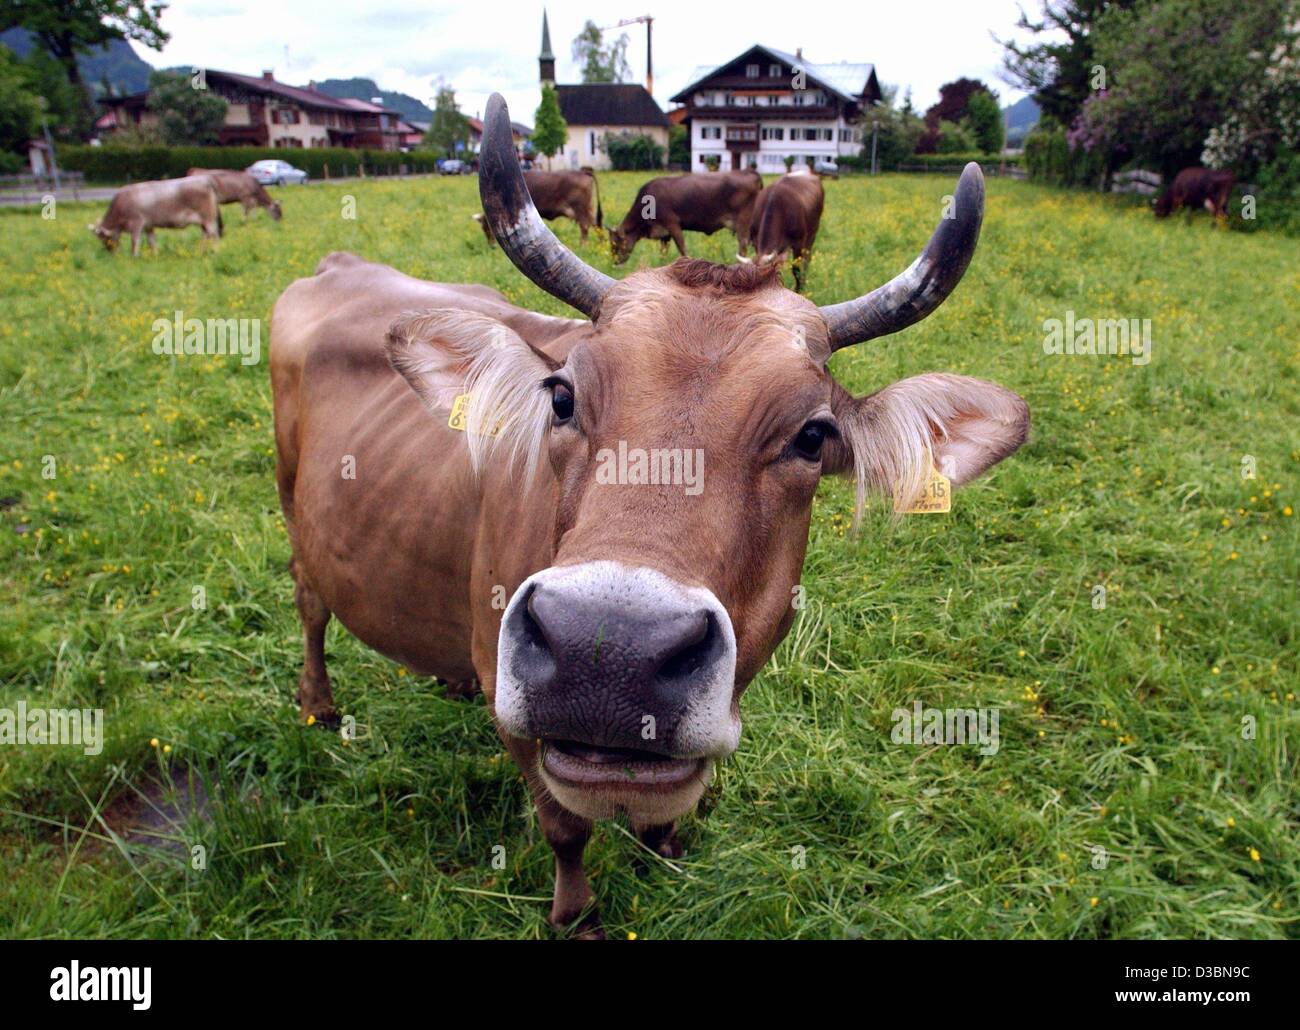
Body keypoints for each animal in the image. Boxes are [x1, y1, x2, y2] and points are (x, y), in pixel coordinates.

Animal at [89, 176, 223, 257]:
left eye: (104, 238)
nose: (110, 252)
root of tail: (204, 178)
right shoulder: (148, 226)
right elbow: (151, 241)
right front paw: (155, 255)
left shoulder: (137, 223)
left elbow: (135, 241)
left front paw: (134, 257)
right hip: (204, 221)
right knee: (206, 235)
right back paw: (200, 252)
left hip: (208, 218)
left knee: (214, 235)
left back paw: (215, 252)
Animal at [473, 169, 603, 243]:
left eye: (486, 228)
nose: (491, 246)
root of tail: (582, 172)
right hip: (588, 208)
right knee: (596, 224)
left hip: (581, 209)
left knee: (585, 227)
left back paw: (583, 245)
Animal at [608, 169, 759, 265]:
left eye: (615, 244)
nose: (615, 262)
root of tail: (748, 171)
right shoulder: (664, 234)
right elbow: (663, 252)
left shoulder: (672, 223)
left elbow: (682, 248)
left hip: (743, 222)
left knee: (743, 245)